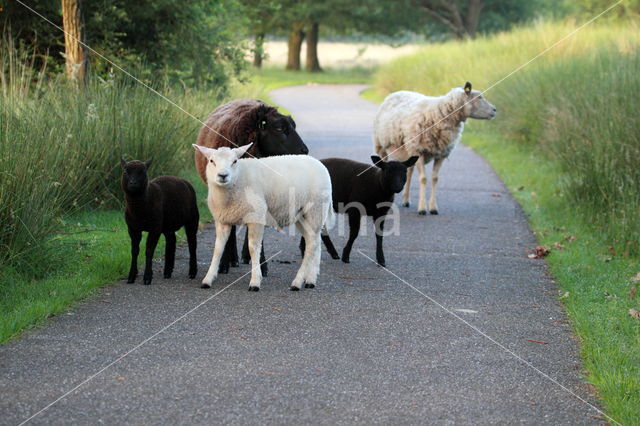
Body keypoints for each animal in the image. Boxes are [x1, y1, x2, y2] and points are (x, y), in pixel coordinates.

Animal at [191, 143, 332, 292]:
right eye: (212, 161)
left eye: (234, 161)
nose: (223, 175)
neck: (239, 178)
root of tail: (319, 163)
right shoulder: (222, 220)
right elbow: (218, 248)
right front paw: (208, 279)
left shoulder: (256, 217)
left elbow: (253, 248)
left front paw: (255, 281)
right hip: (302, 216)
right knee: (315, 241)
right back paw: (310, 279)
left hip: (315, 210)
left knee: (312, 245)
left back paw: (297, 282)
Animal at [372, 82, 498, 216]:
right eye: (479, 97)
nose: (494, 110)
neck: (440, 114)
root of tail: (397, 92)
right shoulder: (419, 150)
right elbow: (423, 179)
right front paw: (422, 208)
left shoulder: (440, 154)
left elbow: (435, 179)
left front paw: (433, 208)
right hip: (381, 146)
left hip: (408, 149)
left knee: (409, 171)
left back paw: (406, 200)